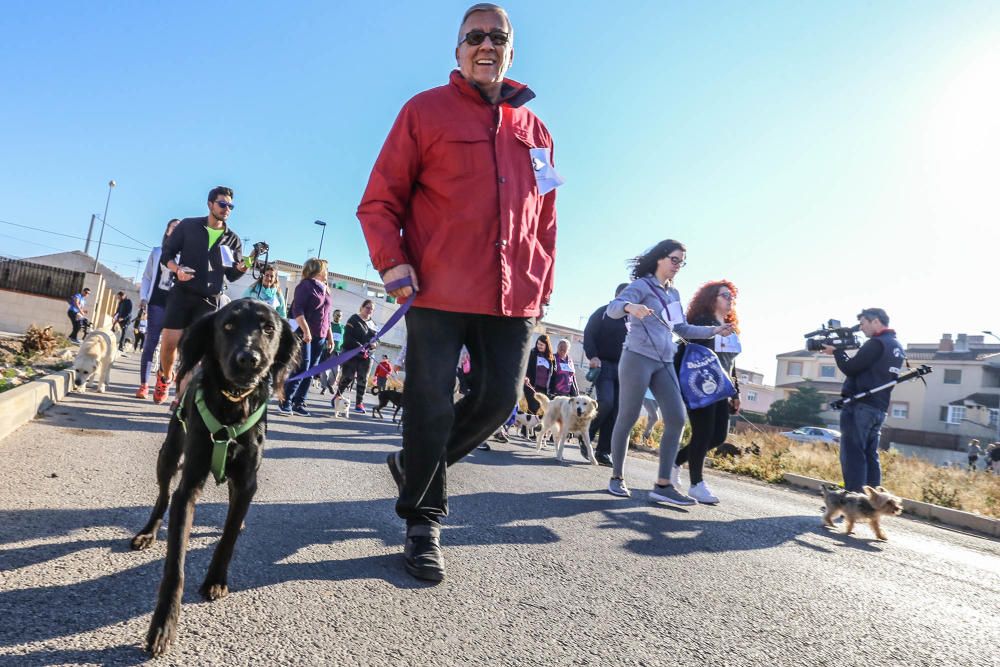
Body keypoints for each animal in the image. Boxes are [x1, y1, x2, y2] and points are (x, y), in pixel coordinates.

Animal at [128, 300, 296, 656]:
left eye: (269, 328)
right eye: (228, 326)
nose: (249, 359)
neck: (233, 402)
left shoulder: (247, 483)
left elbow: (228, 537)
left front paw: (216, 579)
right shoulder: (189, 486)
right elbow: (175, 565)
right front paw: (163, 626)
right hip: (168, 453)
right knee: (162, 496)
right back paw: (148, 532)